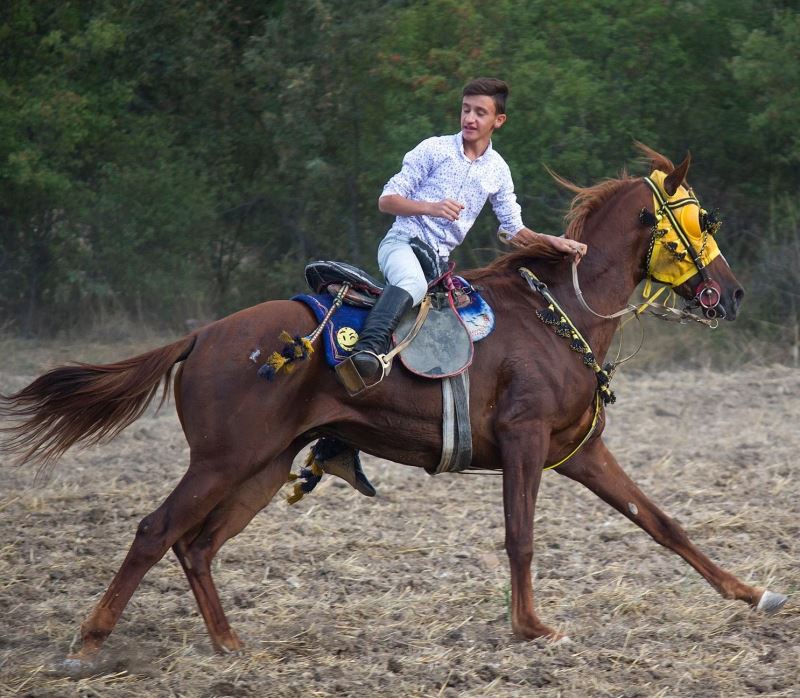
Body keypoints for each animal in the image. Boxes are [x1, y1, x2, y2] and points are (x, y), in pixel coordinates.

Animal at [1, 144, 788, 660]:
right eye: (700, 219)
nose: (733, 293)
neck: (558, 314)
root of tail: (203, 336)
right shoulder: (526, 442)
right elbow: (521, 536)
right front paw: (532, 628)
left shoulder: (580, 452)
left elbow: (663, 523)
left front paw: (753, 593)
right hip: (221, 461)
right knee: (154, 531)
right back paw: (88, 643)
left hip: (262, 467)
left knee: (196, 545)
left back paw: (229, 644)